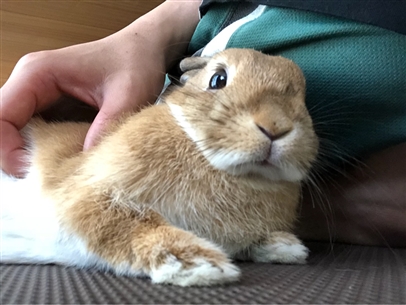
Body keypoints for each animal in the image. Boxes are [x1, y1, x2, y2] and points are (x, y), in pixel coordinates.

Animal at [0, 48, 318, 286]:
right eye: (218, 79)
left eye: (303, 98)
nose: (276, 126)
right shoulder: (87, 196)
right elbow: (130, 225)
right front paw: (203, 265)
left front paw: (285, 247)